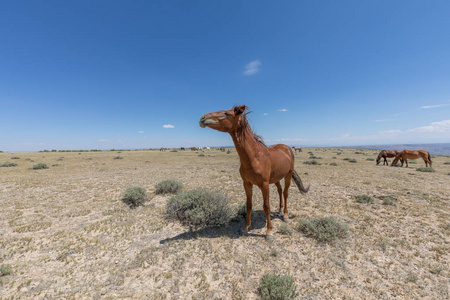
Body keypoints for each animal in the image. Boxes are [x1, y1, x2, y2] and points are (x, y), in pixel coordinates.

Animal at [200, 105, 310, 241]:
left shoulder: (264, 185)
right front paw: (245, 227)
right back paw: (279, 211)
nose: (202, 118)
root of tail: (287, 148)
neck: (255, 157)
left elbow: (266, 206)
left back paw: (285, 215)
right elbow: (249, 205)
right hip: (276, 178)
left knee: (285, 193)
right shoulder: (247, 183)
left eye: (227, 113)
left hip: (288, 175)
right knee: (279, 191)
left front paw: (269, 232)